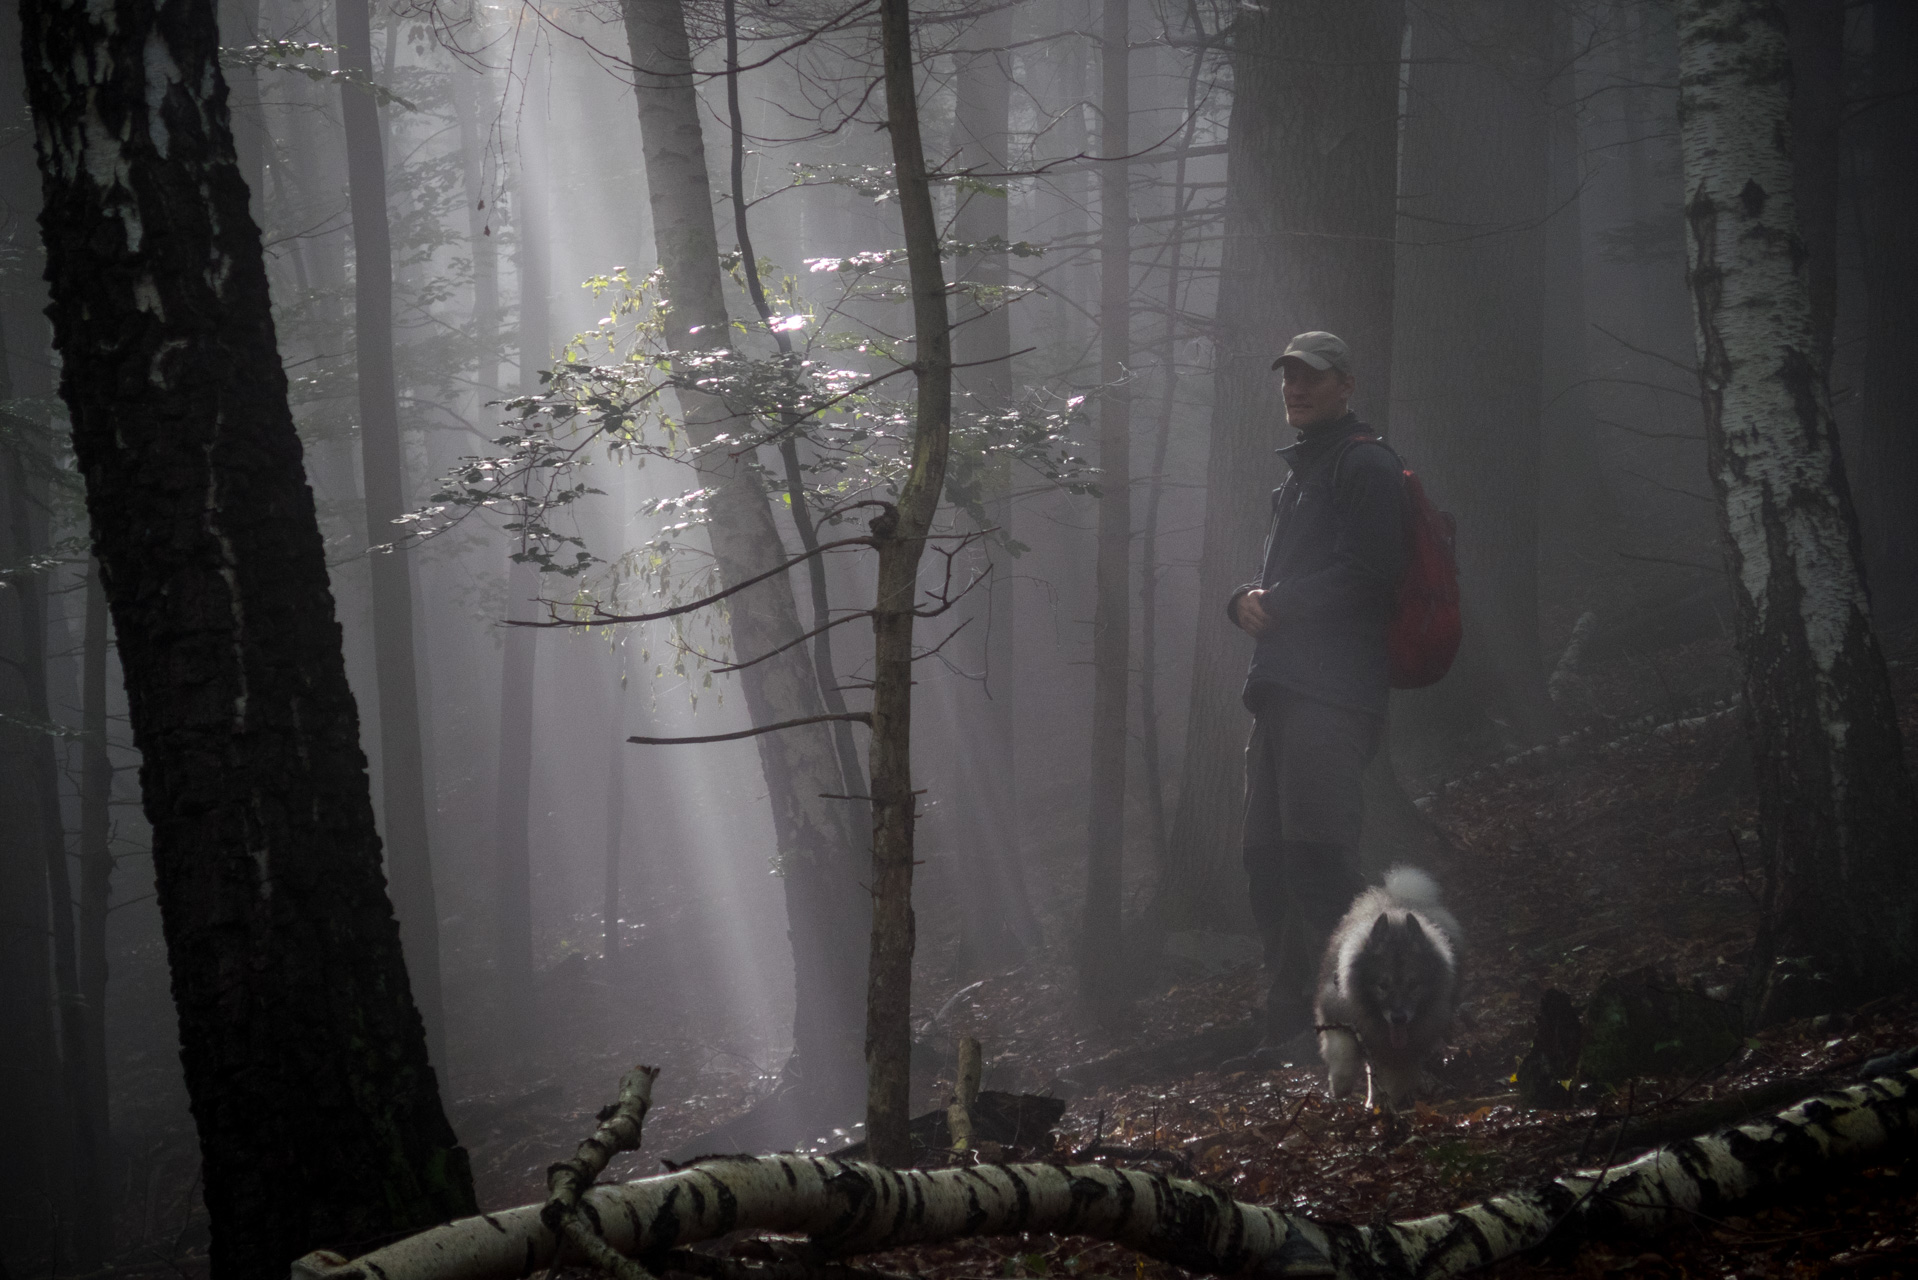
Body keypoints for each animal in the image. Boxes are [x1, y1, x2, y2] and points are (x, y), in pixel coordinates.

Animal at [1311, 871, 1457, 1113]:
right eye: (1382, 985)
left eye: (1413, 984)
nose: (1399, 1018)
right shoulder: (1337, 1017)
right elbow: (1343, 1056)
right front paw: (1341, 1089)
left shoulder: (1403, 1049)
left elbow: (1395, 1079)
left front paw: (1387, 1104)